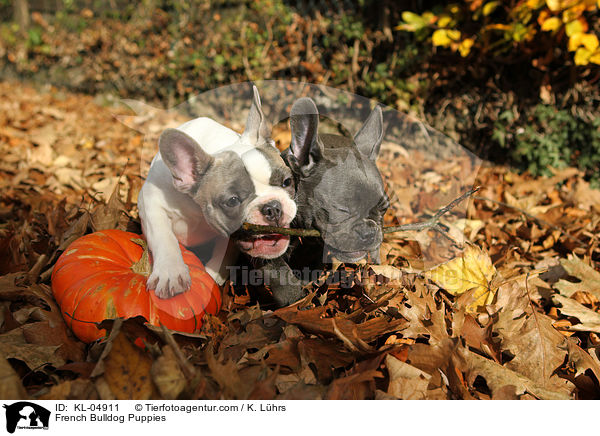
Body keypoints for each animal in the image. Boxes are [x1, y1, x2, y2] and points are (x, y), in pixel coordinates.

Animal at [137, 87, 296, 300]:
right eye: (232, 201)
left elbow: (223, 253)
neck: (197, 209)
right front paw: (170, 272)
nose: (272, 208)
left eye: (287, 182)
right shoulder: (150, 201)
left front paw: (211, 277)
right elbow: (163, 235)